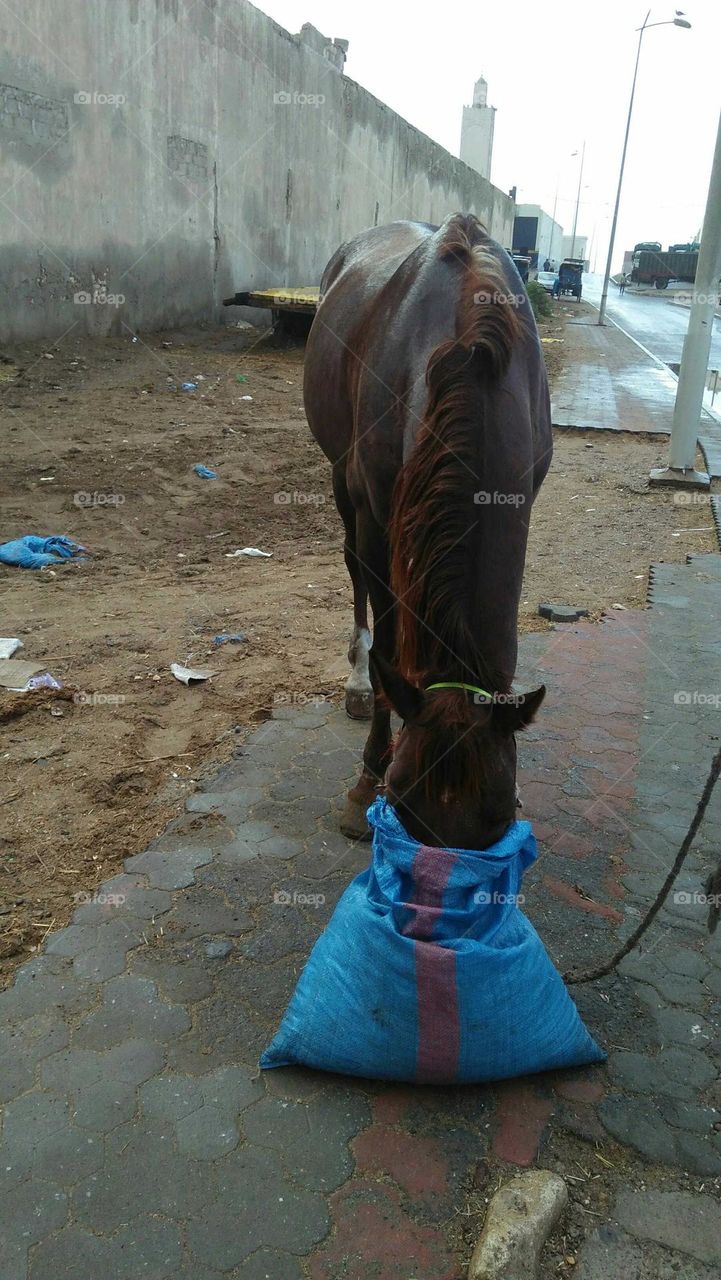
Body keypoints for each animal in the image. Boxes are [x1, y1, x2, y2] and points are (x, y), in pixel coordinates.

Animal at [303, 213, 552, 850]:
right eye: (400, 799)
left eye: (497, 819)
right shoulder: (376, 519)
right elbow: (391, 650)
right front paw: (365, 778)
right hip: (342, 481)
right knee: (356, 578)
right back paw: (358, 680)